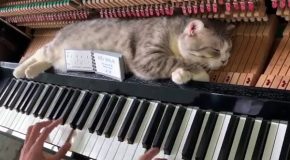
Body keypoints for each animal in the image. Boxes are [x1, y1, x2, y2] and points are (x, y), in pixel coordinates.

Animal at [13, 16, 233, 84]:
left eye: (229, 51)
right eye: (215, 50)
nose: (225, 61)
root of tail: (61, 29)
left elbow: (178, 67)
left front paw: (183, 75)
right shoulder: (146, 58)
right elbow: (180, 61)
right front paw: (202, 73)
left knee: (45, 60)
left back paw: (30, 71)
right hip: (53, 48)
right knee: (39, 52)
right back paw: (19, 70)